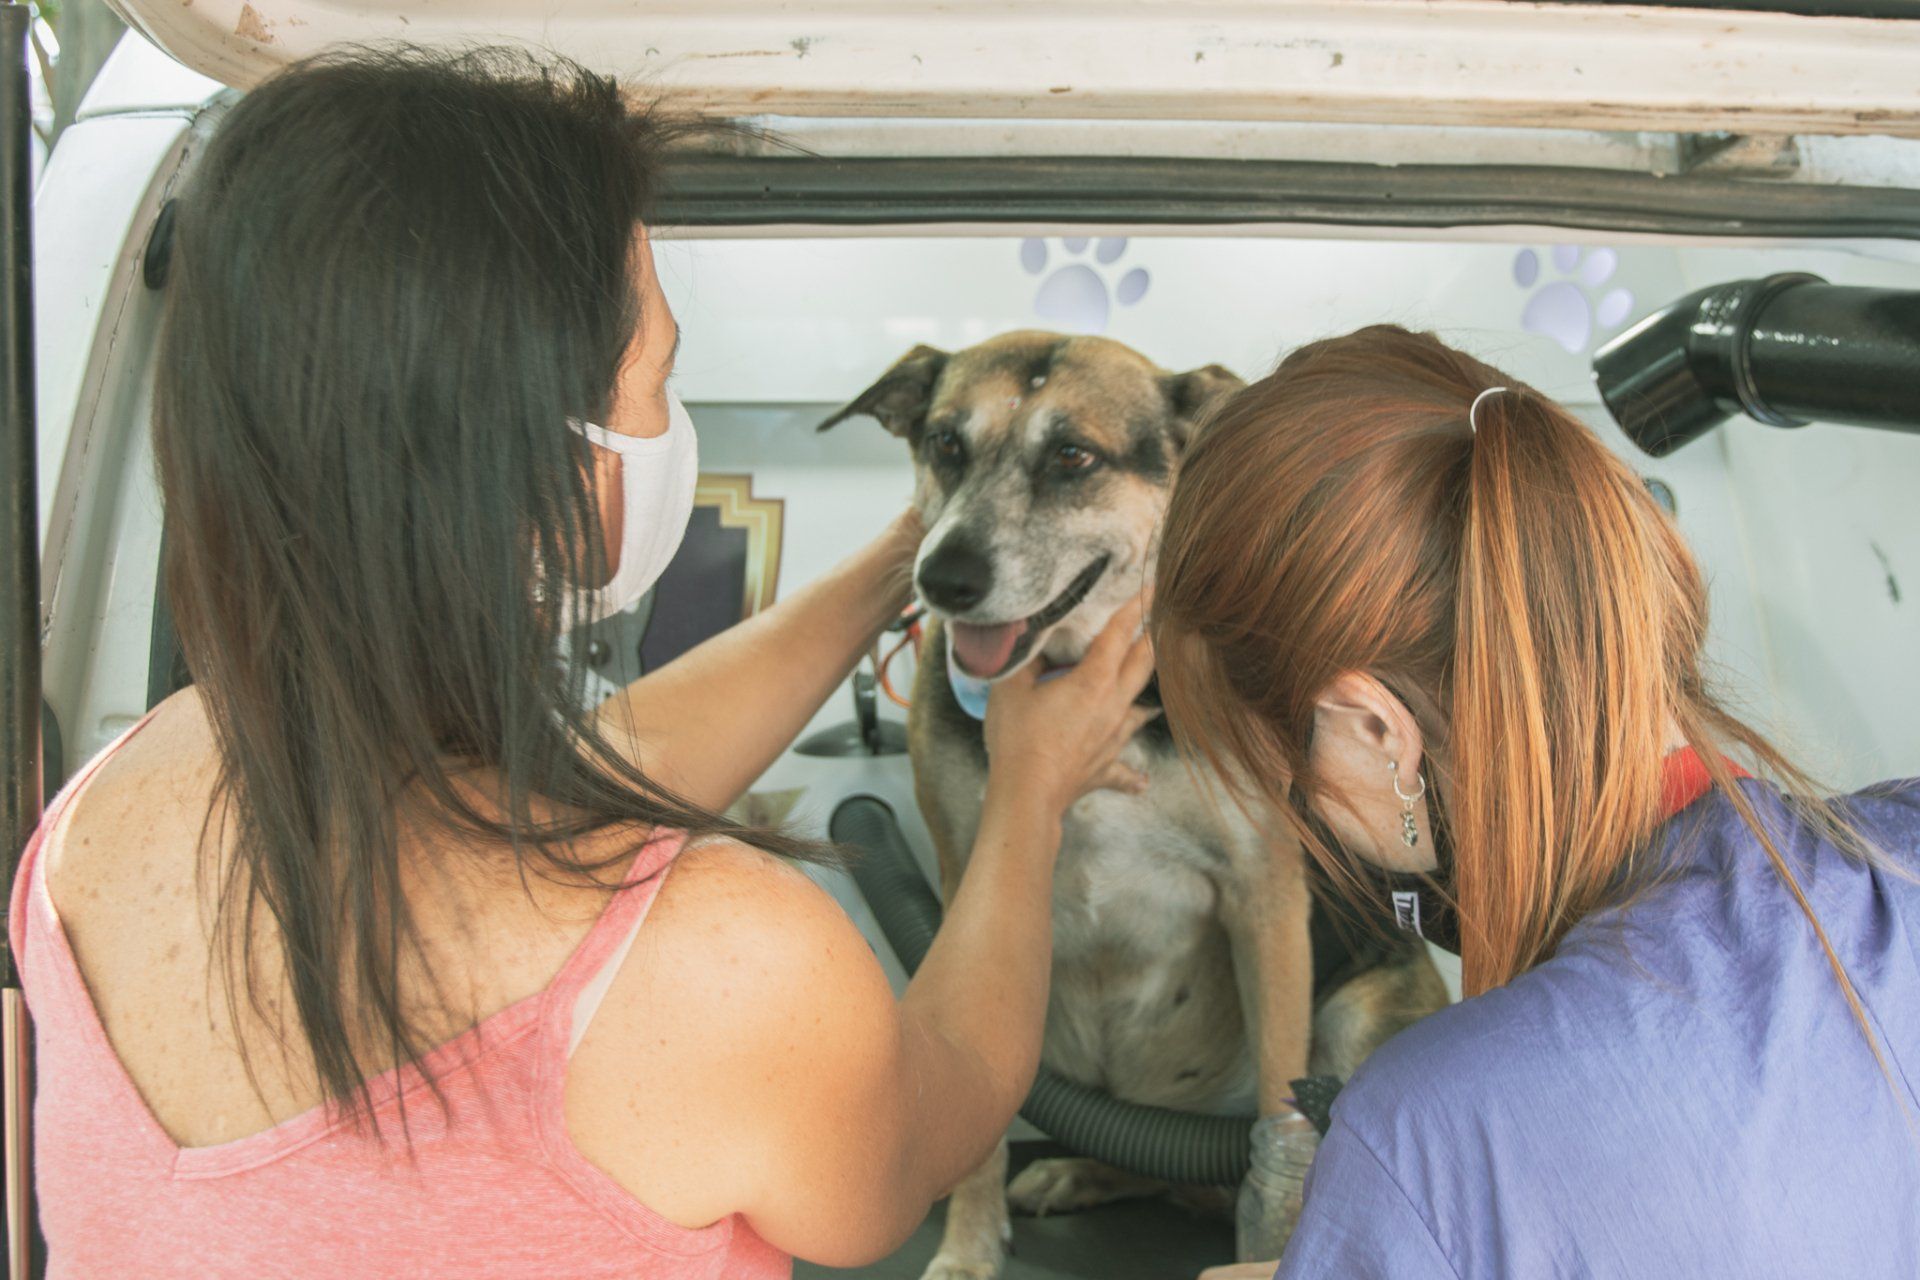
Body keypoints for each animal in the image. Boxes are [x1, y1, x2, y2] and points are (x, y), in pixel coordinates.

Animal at [820, 331, 1447, 1278]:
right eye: (945, 444)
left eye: (1074, 456)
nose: (942, 578)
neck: (1075, 670)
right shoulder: (964, 883)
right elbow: (977, 1124)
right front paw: (968, 1246)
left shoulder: (1264, 896)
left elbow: (1280, 1125)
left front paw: (1267, 1244)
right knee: (1147, 1162)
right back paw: (1076, 1173)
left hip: (1358, 1008)